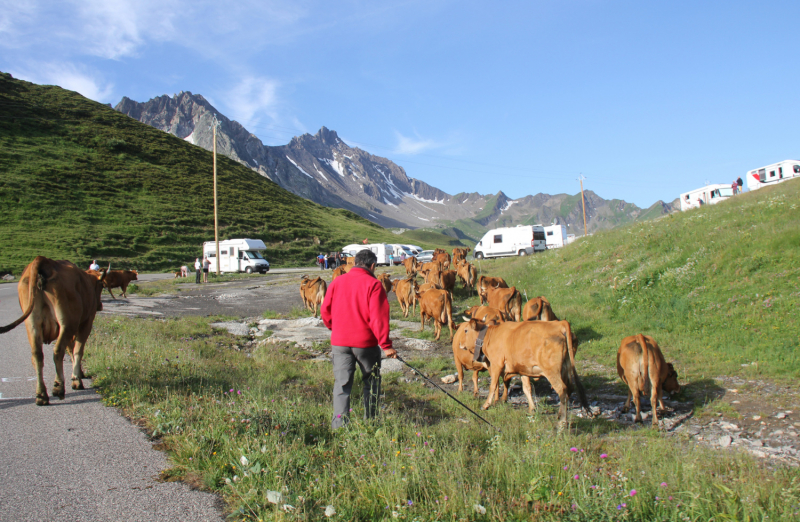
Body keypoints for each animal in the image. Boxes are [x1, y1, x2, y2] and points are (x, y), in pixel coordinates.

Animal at [0, 255, 108, 402]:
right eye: (102, 285)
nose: (100, 305)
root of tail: (45, 261)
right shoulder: (86, 323)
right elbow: (77, 350)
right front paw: (76, 379)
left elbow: (71, 349)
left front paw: (79, 373)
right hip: (67, 323)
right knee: (58, 351)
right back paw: (58, 388)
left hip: (32, 324)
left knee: (37, 354)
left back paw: (41, 394)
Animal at [460, 316, 592, 422]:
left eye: (466, 330)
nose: (460, 344)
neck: (491, 335)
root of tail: (560, 324)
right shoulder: (523, 369)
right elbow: (526, 388)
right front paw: (532, 409)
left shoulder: (497, 364)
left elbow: (493, 386)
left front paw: (486, 405)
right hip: (566, 368)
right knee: (570, 388)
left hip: (552, 371)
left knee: (562, 389)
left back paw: (561, 419)